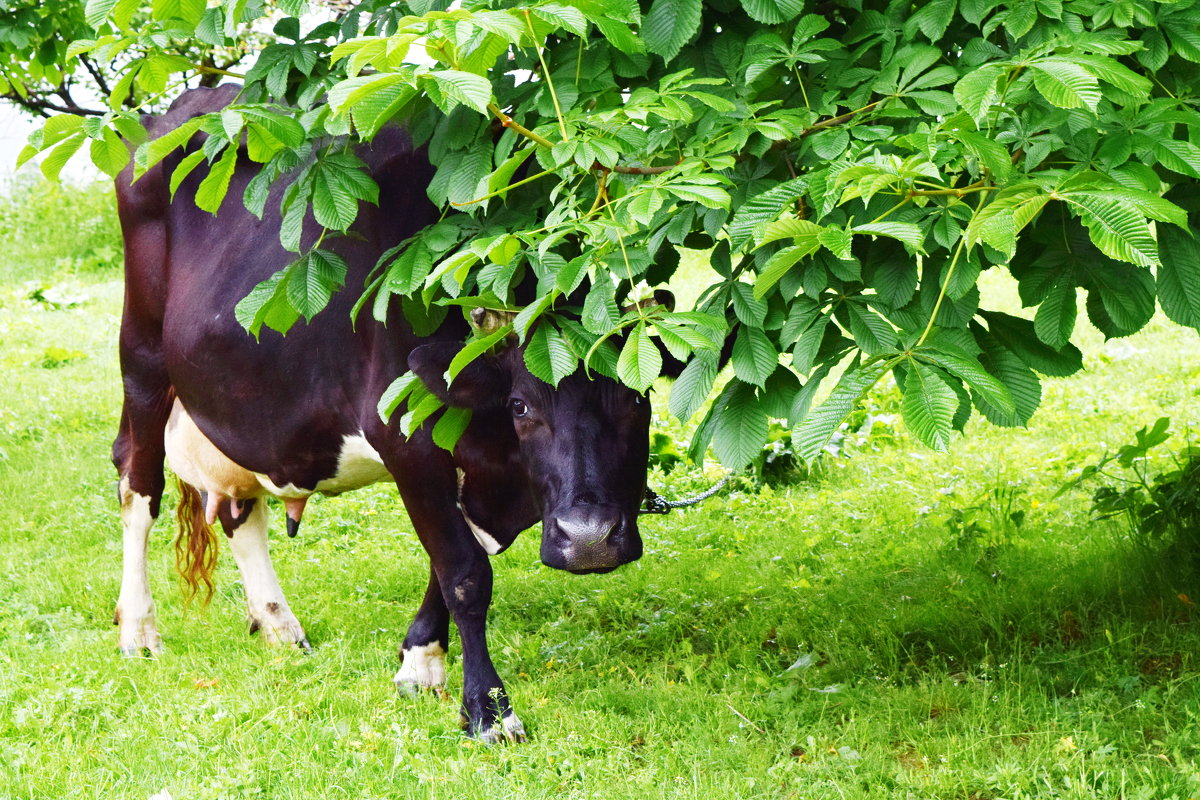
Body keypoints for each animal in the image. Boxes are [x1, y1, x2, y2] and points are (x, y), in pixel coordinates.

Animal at [113, 84, 667, 743]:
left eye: (635, 399)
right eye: (521, 405)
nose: (588, 541)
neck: (500, 464)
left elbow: (448, 558)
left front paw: (420, 661)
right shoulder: (406, 437)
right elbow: (464, 570)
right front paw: (488, 709)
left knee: (238, 509)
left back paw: (279, 625)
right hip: (143, 356)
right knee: (136, 483)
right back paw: (139, 630)